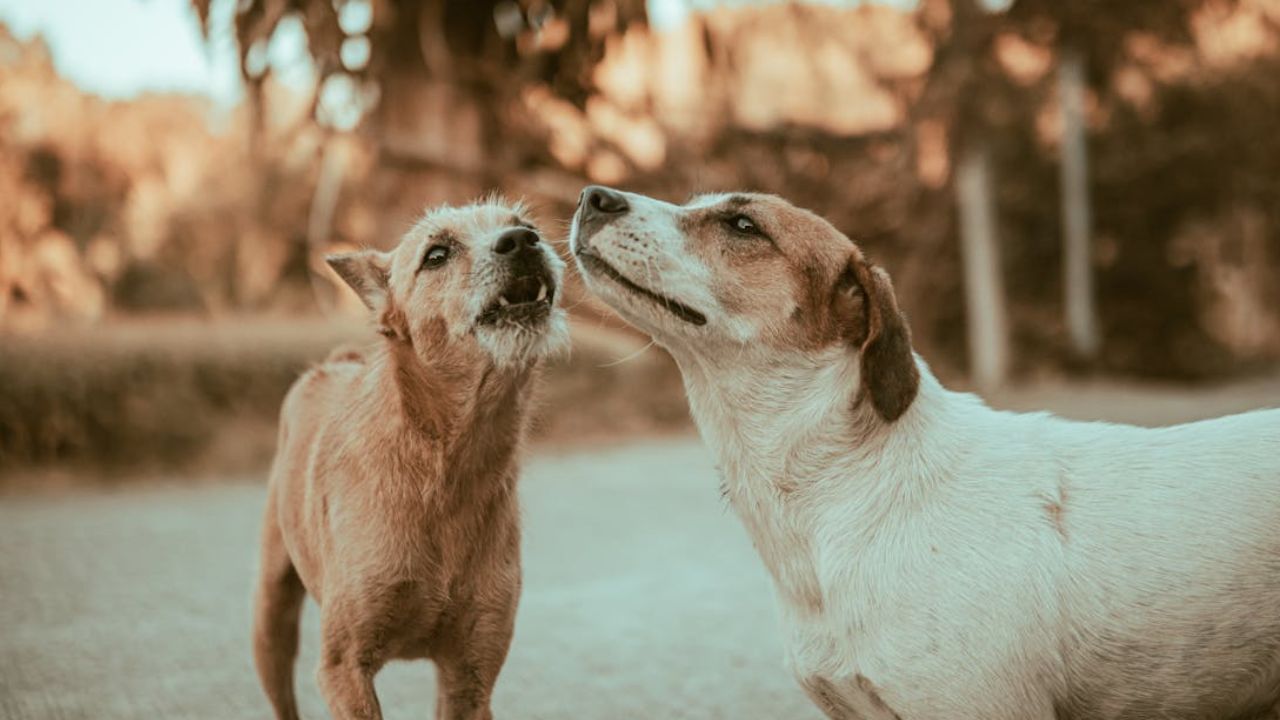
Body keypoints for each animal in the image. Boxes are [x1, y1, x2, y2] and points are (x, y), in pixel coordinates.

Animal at [252, 197, 568, 717]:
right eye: (436, 255)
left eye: (526, 225)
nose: (523, 241)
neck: (445, 466)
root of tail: (335, 363)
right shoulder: (343, 668)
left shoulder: (469, 678)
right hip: (271, 617)